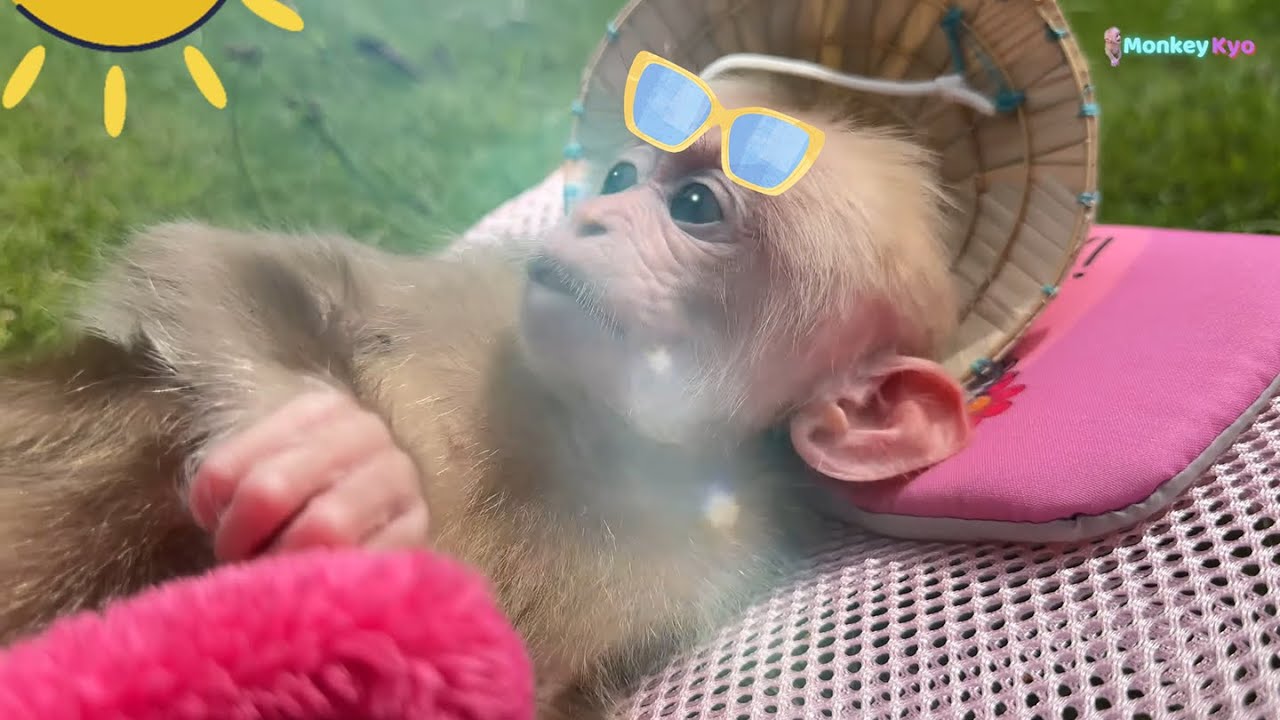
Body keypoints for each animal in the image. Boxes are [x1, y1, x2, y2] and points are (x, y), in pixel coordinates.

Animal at [0, 76, 972, 717]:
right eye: (620, 181)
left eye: (695, 204)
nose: (590, 219)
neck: (588, 437)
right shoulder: (487, 296)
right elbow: (198, 260)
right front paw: (329, 461)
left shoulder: (713, 567)